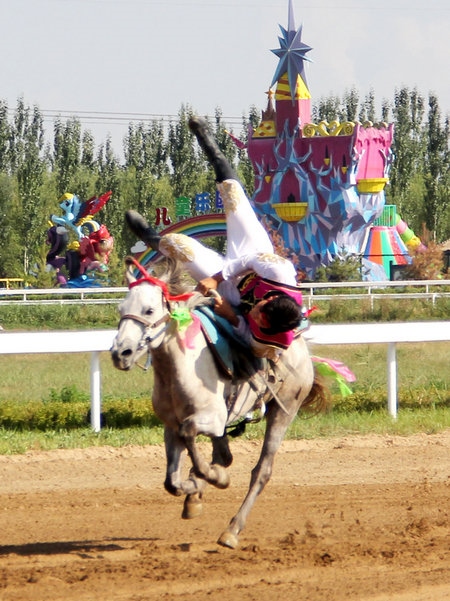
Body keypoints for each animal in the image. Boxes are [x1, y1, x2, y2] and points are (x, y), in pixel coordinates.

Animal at [111, 256, 328, 549]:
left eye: (149, 310)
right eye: (121, 308)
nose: (120, 353)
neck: (180, 366)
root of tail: (303, 350)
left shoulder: (210, 418)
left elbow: (190, 435)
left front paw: (215, 479)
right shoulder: (171, 424)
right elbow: (172, 481)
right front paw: (193, 490)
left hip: (284, 410)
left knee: (262, 470)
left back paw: (232, 530)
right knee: (224, 455)